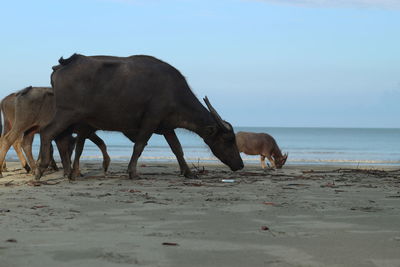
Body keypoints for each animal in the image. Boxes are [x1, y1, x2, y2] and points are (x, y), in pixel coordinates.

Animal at [36, 54, 244, 180]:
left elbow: (177, 149)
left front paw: (187, 172)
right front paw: (132, 172)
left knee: (64, 141)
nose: (240, 164)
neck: (174, 92)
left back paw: (69, 173)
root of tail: (64, 63)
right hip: (67, 113)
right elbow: (140, 145)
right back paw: (41, 169)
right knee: (47, 133)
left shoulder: (167, 126)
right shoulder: (151, 120)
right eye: (228, 140)